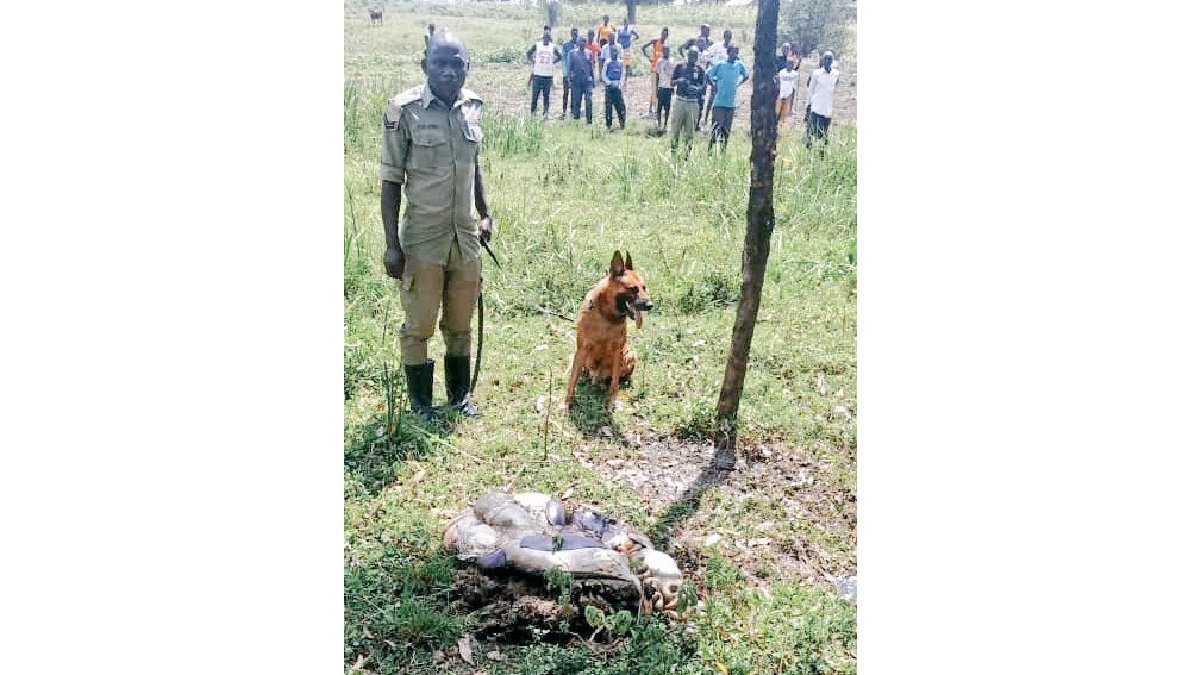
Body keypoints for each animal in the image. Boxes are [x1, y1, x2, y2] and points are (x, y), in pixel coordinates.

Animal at [565, 251, 653, 408]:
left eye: (644, 287)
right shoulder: (581, 350)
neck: (606, 315)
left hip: (631, 354)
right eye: (633, 289)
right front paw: (566, 404)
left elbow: (614, 383)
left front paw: (612, 402)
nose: (651, 305)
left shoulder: (617, 351)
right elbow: (572, 381)